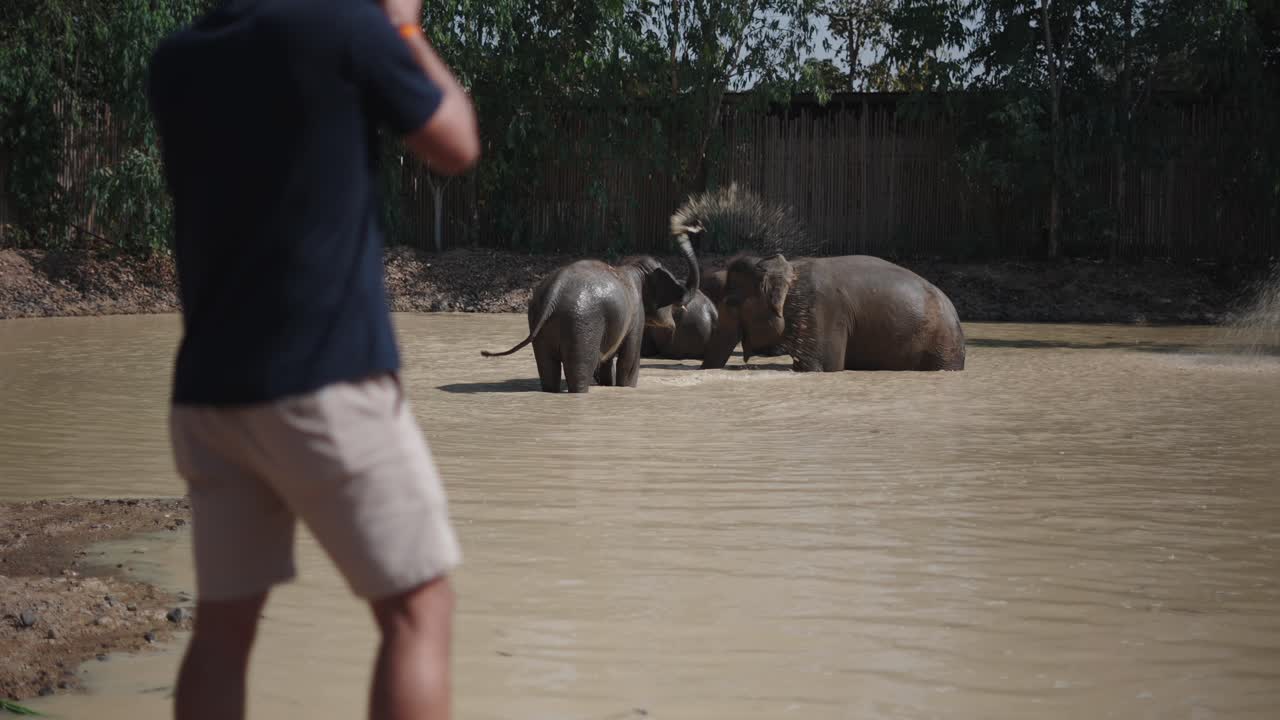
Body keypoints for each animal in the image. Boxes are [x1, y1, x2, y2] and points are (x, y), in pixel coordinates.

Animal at [481, 238, 701, 393]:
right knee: (580, 372)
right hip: (582, 322)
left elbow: (607, 361)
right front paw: (626, 388)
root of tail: (554, 292)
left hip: (542, 321)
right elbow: (629, 361)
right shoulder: (636, 314)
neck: (632, 267)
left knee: (547, 369)